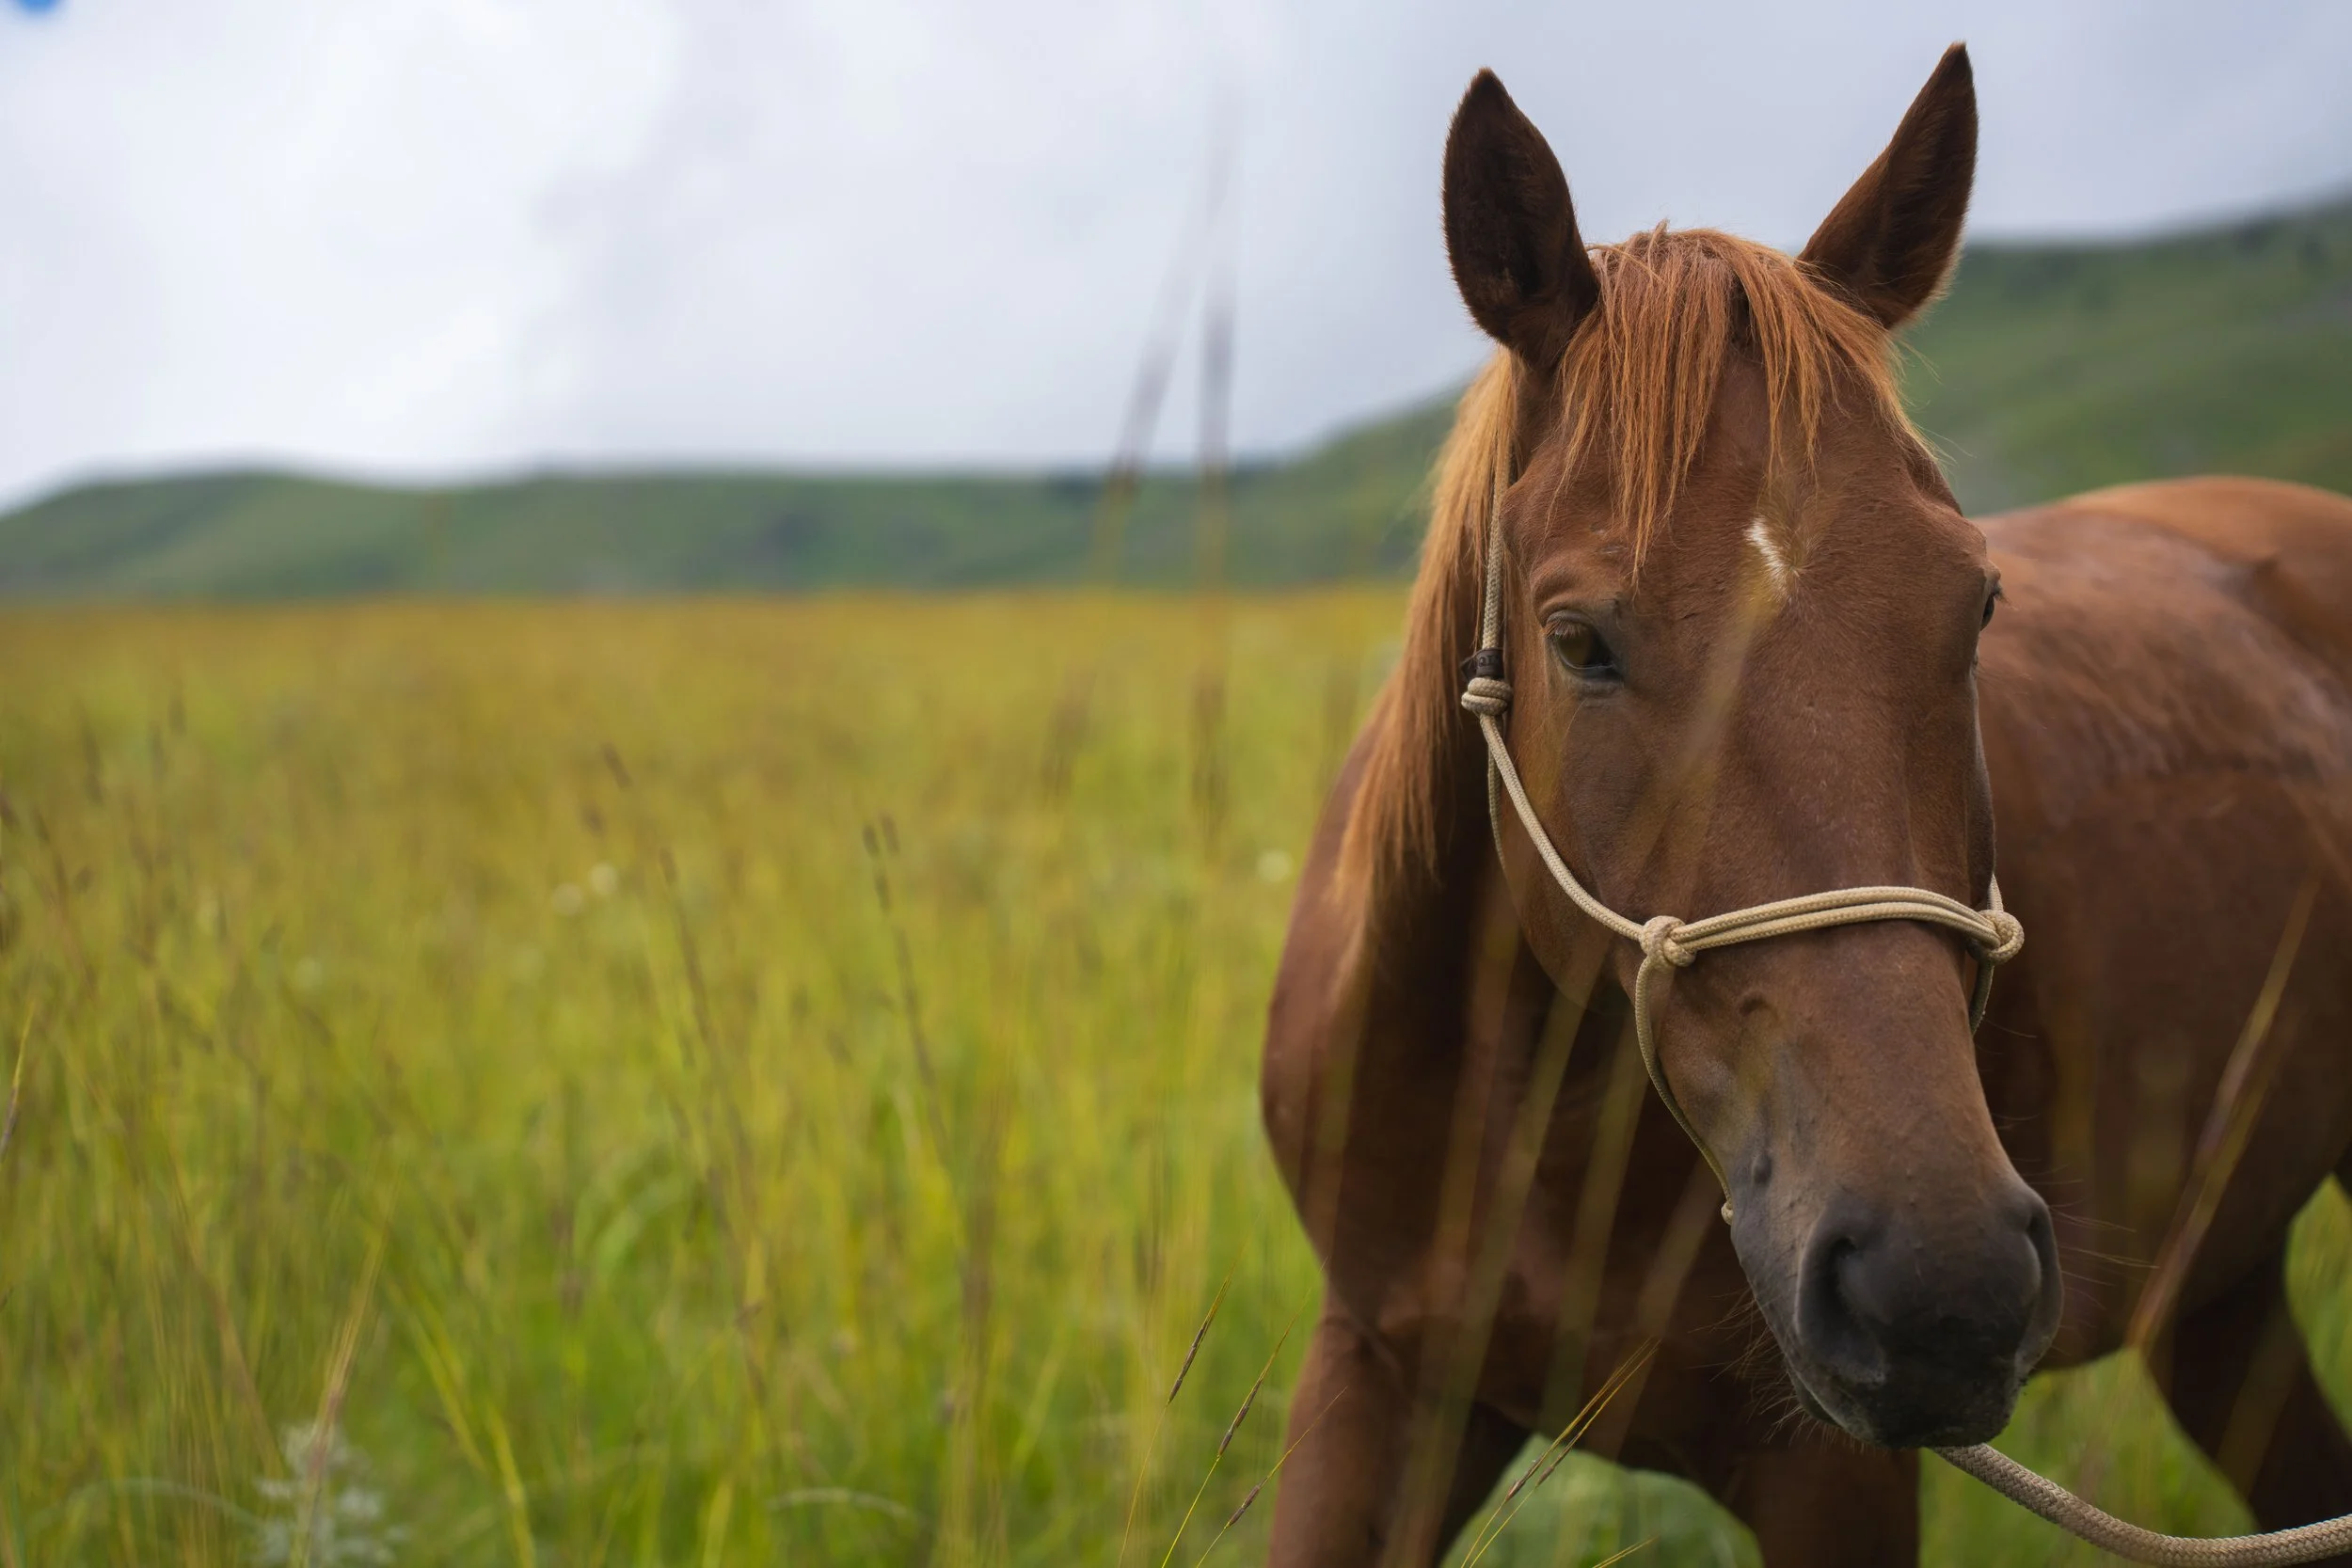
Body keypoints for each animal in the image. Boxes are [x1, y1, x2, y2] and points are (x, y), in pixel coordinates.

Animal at [1258, 43, 2352, 1567]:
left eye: (1978, 604)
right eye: (1578, 640)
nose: (1939, 1278)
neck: (1530, 1118)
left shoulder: (1831, 1474)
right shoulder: (1381, 1369)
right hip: (2219, 1284)